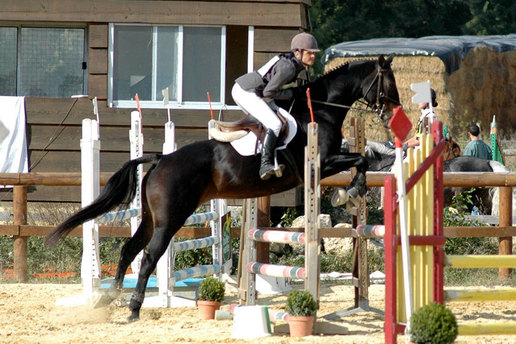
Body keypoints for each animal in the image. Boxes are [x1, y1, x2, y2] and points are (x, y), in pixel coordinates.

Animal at [45, 54, 400, 322]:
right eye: (389, 82)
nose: (393, 112)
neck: (321, 109)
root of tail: (161, 159)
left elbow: (361, 160)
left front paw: (348, 192)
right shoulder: (318, 165)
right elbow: (360, 160)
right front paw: (350, 191)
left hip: (150, 217)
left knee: (129, 249)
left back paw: (108, 301)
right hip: (170, 218)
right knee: (148, 257)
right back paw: (133, 309)